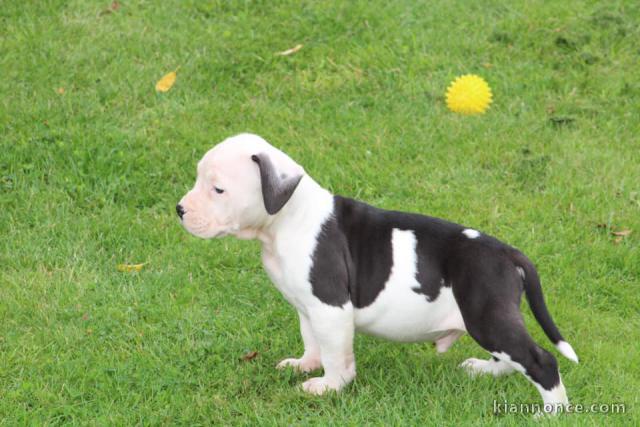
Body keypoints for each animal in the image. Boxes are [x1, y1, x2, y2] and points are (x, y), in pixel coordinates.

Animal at [176, 133, 580, 414]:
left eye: (218, 189)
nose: (179, 209)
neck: (287, 219)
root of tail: (509, 253)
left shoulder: (330, 307)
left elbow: (336, 353)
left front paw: (329, 386)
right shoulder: (308, 307)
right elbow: (313, 340)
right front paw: (306, 365)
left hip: (486, 315)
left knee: (540, 360)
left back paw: (552, 413)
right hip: (491, 320)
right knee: (512, 358)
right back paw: (483, 370)